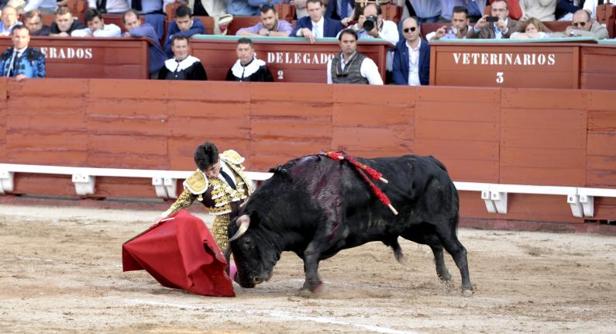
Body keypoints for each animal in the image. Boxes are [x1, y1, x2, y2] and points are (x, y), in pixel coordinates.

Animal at [226, 155, 472, 294]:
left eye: (246, 243)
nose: (244, 280)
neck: (297, 192)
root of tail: (434, 163)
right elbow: (309, 258)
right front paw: (311, 284)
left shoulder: (331, 229)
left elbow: (310, 253)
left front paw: (310, 288)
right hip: (412, 228)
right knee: (436, 245)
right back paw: (445, 278)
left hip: (442, 224)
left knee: (457, 249)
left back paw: (466, 287)